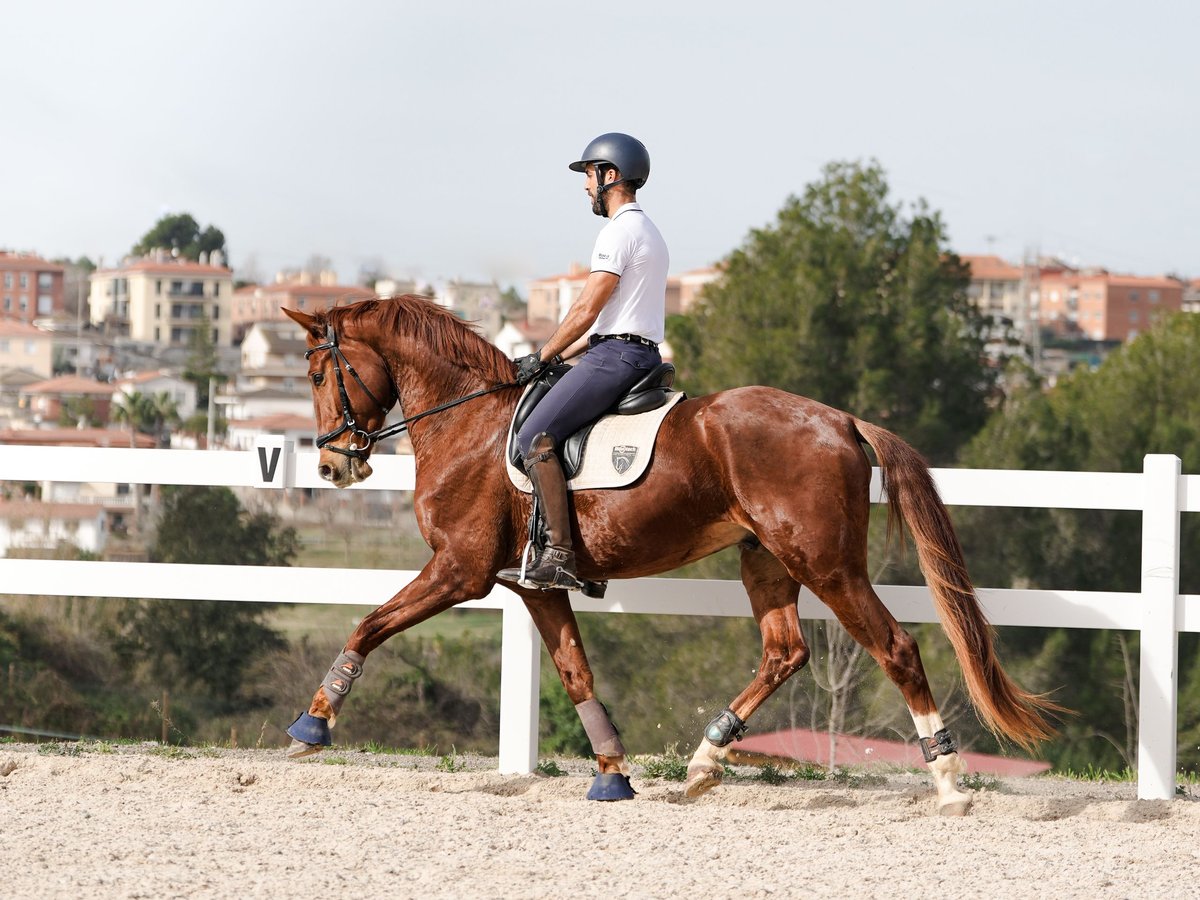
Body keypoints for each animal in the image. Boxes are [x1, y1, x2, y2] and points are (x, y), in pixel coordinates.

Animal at [280, 296, 1060, 816]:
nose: (331, 467)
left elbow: (369, 624)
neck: (469, 422)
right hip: (765, 560)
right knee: (785, 652)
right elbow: (575, 672)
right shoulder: (533, 585)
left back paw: (948, 782)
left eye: (317, 376)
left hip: (826, 564)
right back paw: (704, 761)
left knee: (895, 647)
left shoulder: (460, 571)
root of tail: (840, 419)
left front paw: (312, 726)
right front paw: (612, 773)